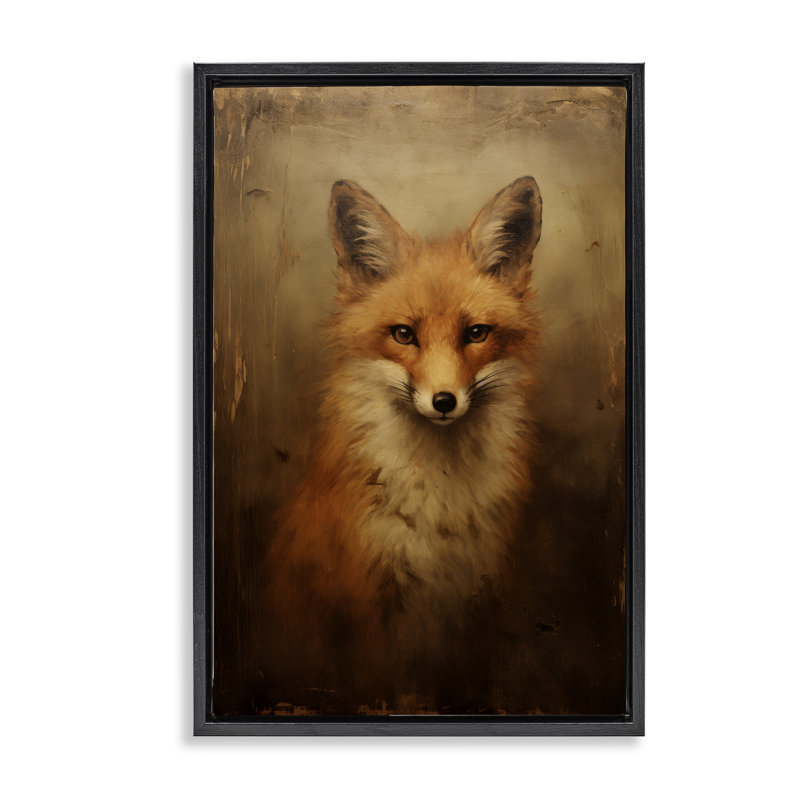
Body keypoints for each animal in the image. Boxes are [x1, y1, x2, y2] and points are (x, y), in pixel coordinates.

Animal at [265, 176, 543, 706]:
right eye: (403, 334)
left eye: (476, 333)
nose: (444, 401)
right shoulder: (368, 600)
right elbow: (387, 692)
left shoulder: (478, 597)